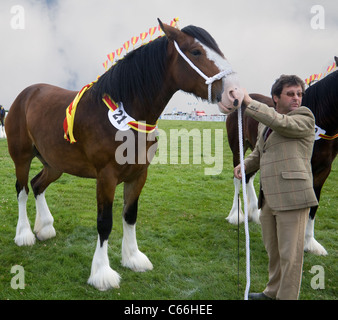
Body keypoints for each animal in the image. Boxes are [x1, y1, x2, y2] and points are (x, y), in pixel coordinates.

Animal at [5, 19, 243, 290]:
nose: (235, 93)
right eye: (196, 51)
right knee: (22, 190)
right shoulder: (106, 177)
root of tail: (25, 94)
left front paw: (133, 258)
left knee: (37, 185)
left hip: (55, 164)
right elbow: (104, 223)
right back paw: (24, 234)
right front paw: (102, 272)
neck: (126, 116)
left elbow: (130, 215)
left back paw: (44, 228)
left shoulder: (138, 175)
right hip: (21, 158)